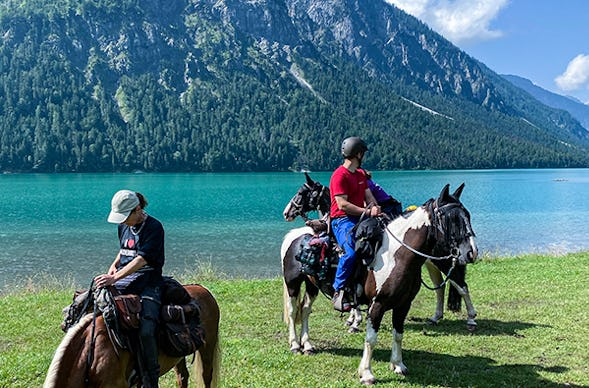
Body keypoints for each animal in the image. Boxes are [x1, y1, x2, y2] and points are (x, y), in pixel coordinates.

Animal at [282, 175, 478, 382]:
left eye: (466, 215)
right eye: (452, 218)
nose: (472, 251)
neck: (397, 255)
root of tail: (294, 237)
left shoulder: (403, 304)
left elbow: (398, 334)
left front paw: (398, 365)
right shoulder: (377, 304)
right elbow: (371, 338)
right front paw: (367, 373)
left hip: (312, 285)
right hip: (294, 284)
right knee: (294, 310)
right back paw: (295, 345)